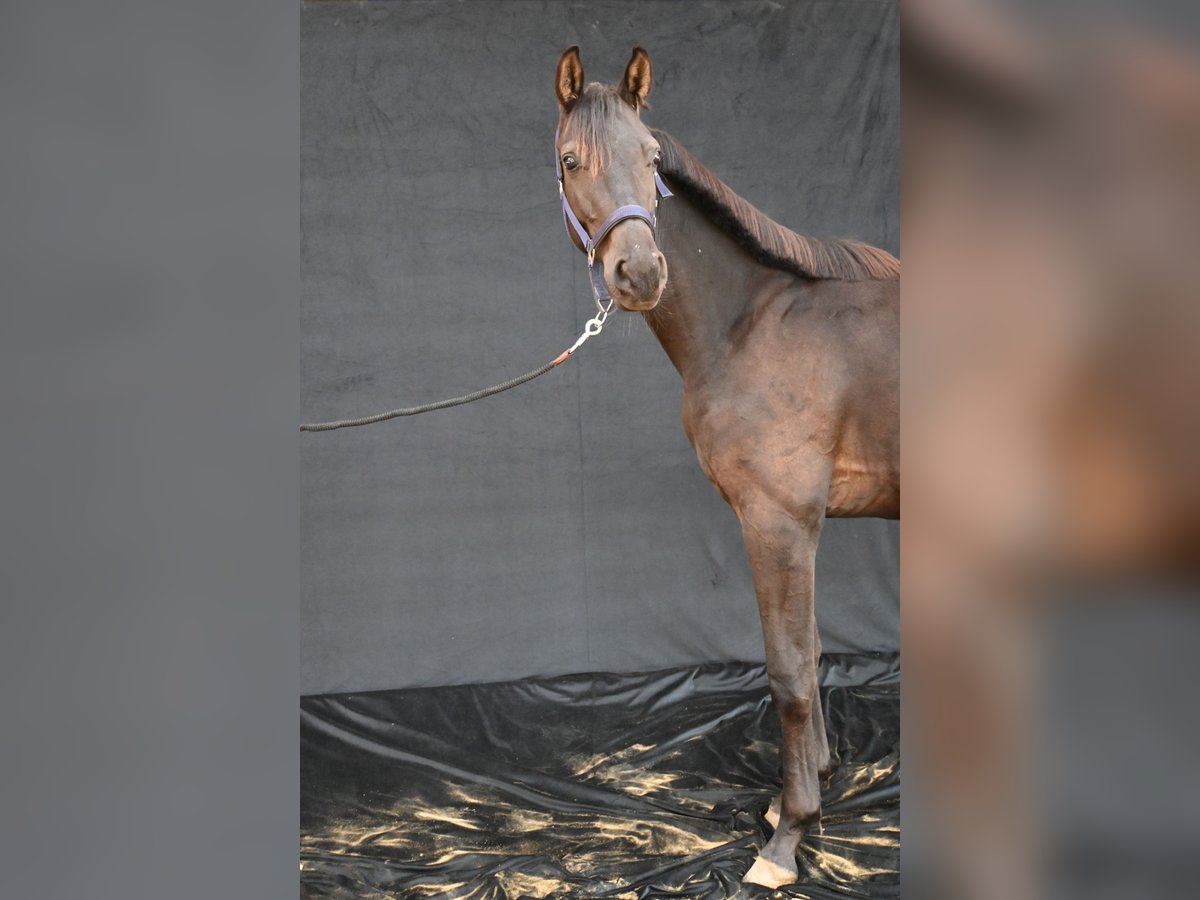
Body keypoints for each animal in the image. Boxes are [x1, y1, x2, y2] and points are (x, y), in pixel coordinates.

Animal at [552, 47, 902, 888]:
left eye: (652, 160)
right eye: (572, 160)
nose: (641, 273)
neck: (756, 322)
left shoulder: (778, 521)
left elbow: (787, 673)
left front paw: (787, 838)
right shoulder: (802, 526)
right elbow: (812, 654)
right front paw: (798, 798)